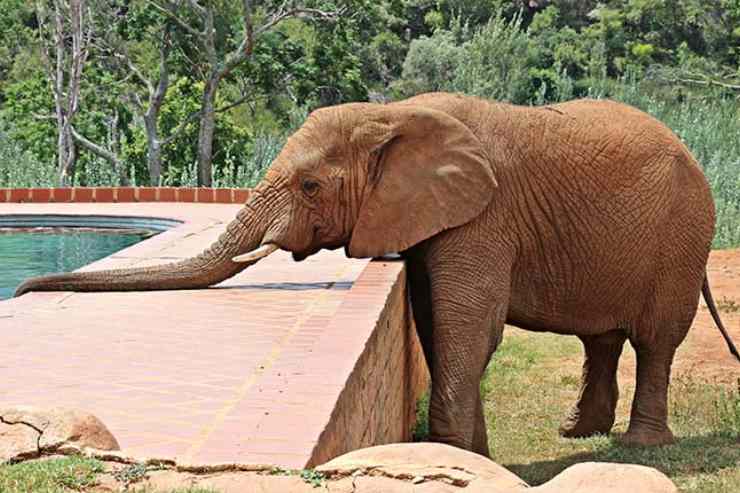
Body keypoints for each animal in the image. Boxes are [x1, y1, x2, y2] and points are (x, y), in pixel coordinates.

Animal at [15, 92, 740, 457]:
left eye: (310, 186)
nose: (21, 290)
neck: (393, 111)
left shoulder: (484, 213)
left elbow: (467, 324)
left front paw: (456, 456)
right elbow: (434, 318)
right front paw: (468, 455)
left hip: (681, 236)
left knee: (655, 339)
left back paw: (641, 445)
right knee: (601, 336)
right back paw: (576, 434)